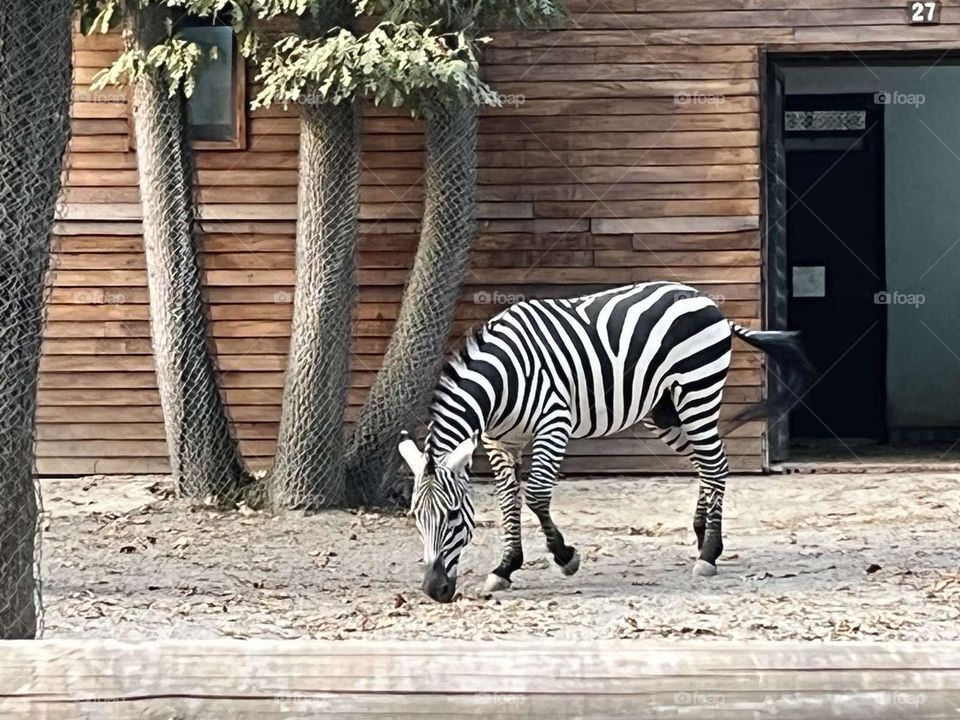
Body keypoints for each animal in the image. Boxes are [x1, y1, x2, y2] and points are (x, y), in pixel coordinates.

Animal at [398, 281, 812, 603]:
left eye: (454, 515)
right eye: (416, 516)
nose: (434, 590)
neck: (502, 379)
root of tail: (706, 302)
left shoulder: (554, 423)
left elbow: (536, 497)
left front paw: (565, 557)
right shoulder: (499, 442)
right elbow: (507, 502)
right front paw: (505, 567)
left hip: (698, 391)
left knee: (714, 465)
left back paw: (709, 554)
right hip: (664, 411)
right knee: (708, 465)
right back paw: (703, 537)